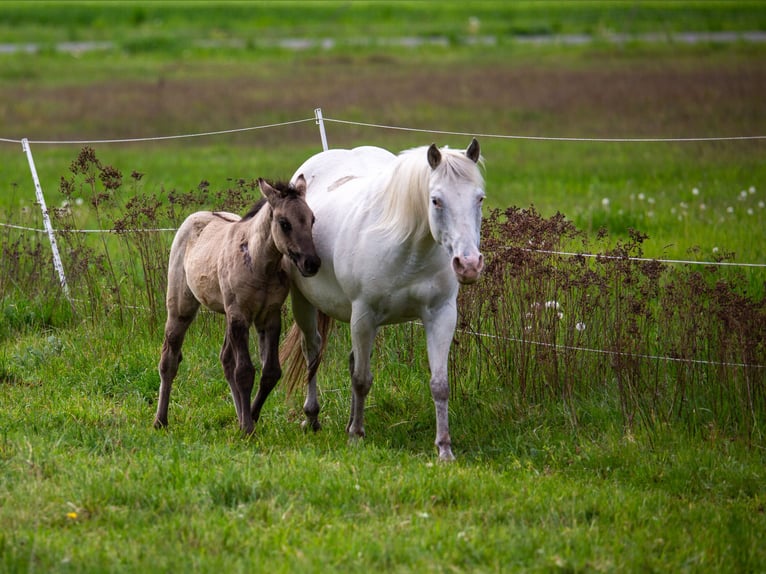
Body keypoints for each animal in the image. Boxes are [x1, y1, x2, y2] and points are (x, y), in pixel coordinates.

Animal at [154, 176, 321, 435]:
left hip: (227, 314)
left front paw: (248, 417)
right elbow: (244, 372)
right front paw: (248, 428)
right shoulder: (240, 315)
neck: (261, 264)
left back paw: (239, 415)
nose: (311, 263)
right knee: (169, 360)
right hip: (181, 307)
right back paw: (160, 420)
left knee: (225, 359)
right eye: (284, 223)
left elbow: (270, 372)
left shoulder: (269, 317)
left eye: (311, 219)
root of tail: (199, 214)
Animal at [280, 140, 484, 461]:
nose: (469, 265)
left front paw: (444, 449)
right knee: (312, 351)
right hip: (304, 303)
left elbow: (440, 385)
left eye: (479, 199)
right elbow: (362, 379)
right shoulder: (364, 315)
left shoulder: (441, 315)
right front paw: (356, 437)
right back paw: (312, 417)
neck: (409, 248)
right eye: (436, 201)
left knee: (350, 359)